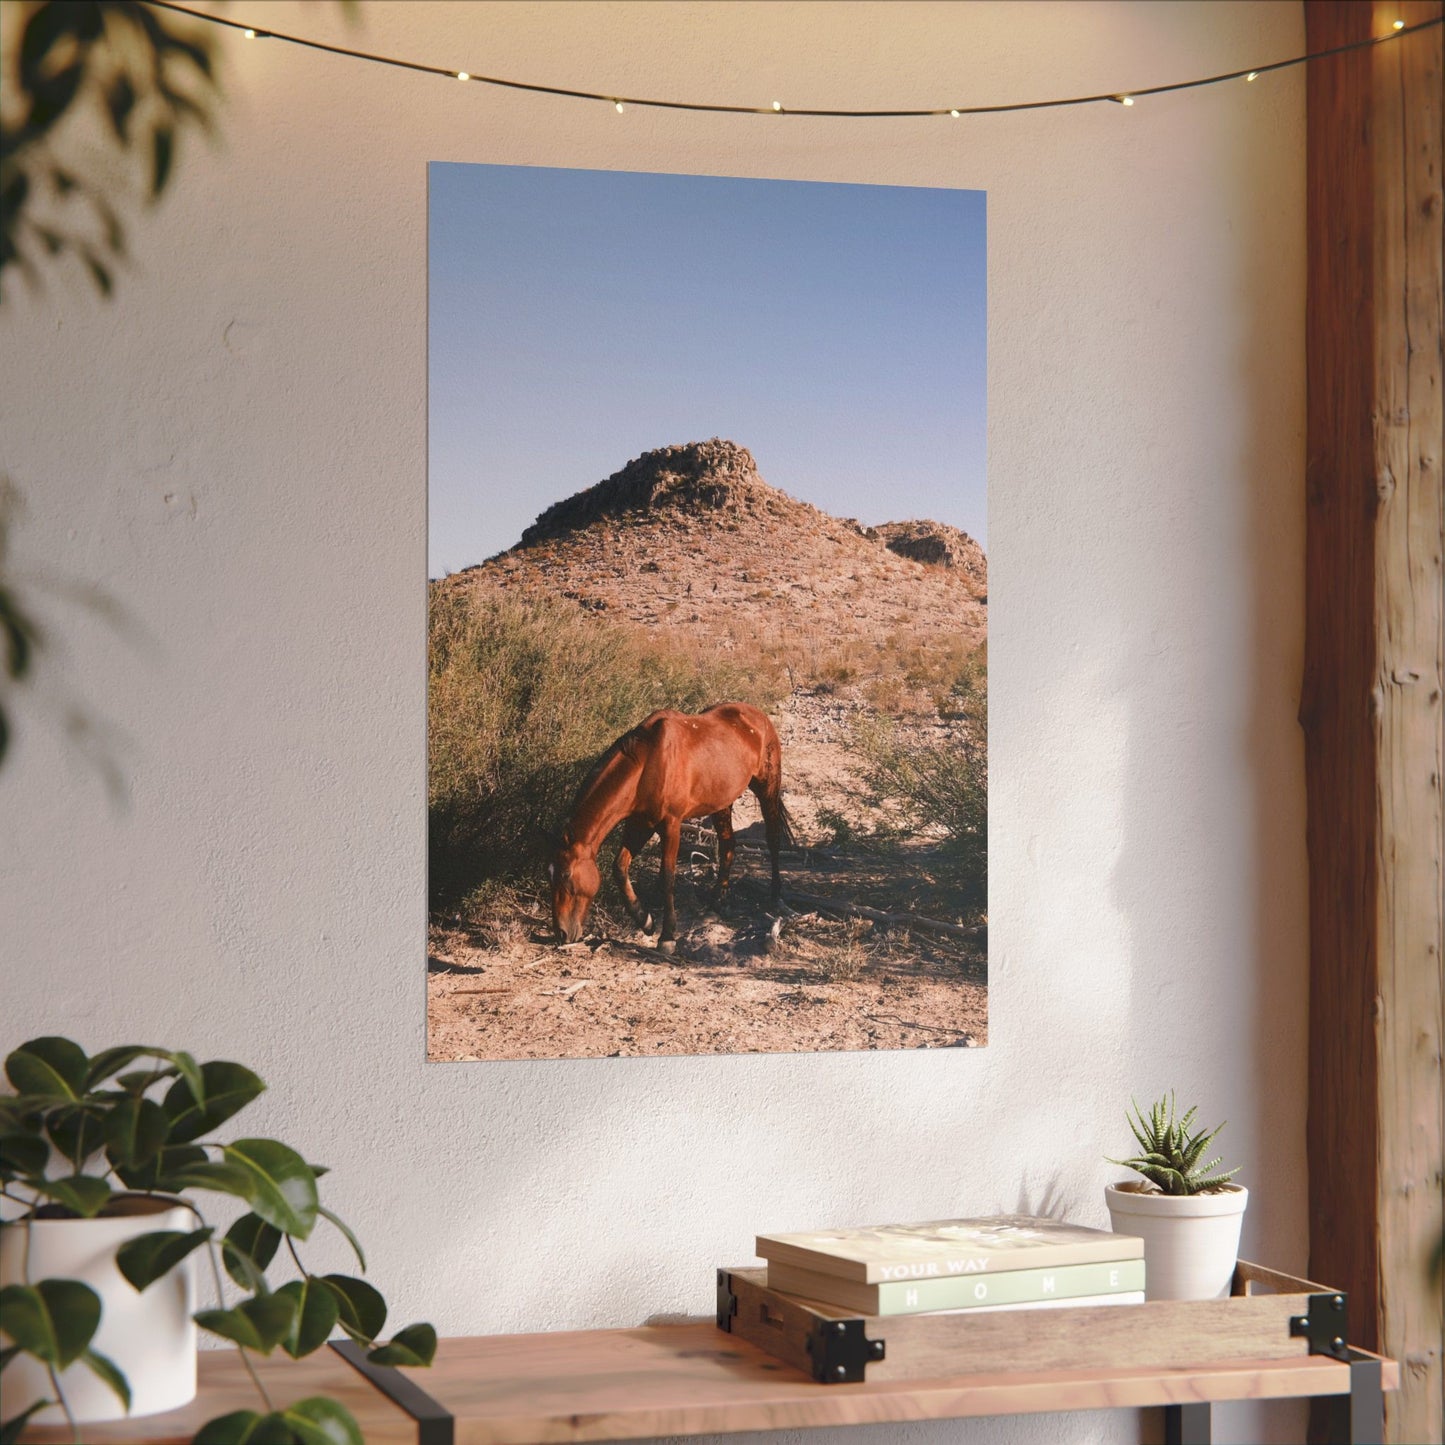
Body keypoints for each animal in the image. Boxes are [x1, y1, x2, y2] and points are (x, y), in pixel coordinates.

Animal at [549, 702, 788, 952]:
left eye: (565, 874)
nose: (561, 933)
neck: (648, 763)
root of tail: (757, 714)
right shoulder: (640, 823)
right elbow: (619, 868)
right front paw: (644, 920)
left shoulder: (671, 825)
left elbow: (667, 877)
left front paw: (667, 936)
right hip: (722, 802)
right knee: (728, 845)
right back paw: (717, 900)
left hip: (767, 787)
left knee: (773, 838)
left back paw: (776, 895)